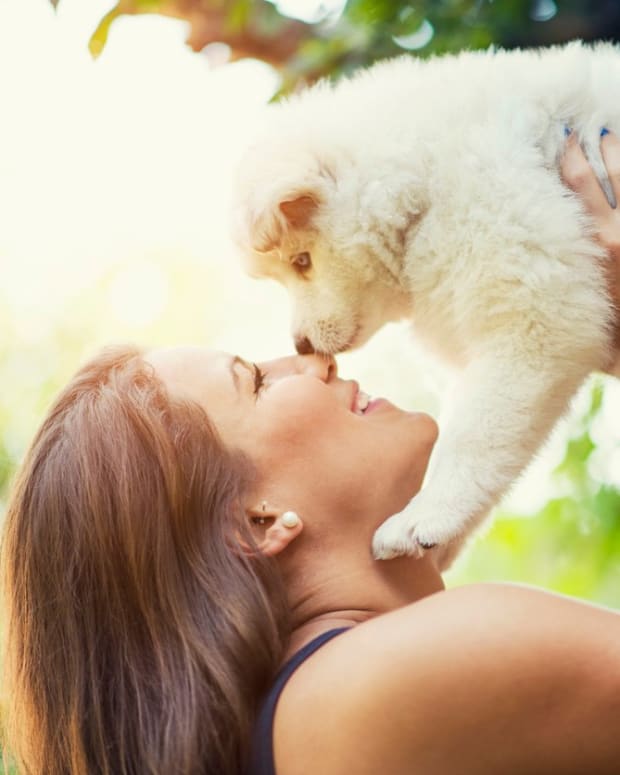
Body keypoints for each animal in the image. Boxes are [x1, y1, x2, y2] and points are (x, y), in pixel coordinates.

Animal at [230, 42, 616, 560]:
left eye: (302, 261)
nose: (301, 346)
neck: (425, 179)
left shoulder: (533, 308)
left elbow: (475, 434)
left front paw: (427, 518)